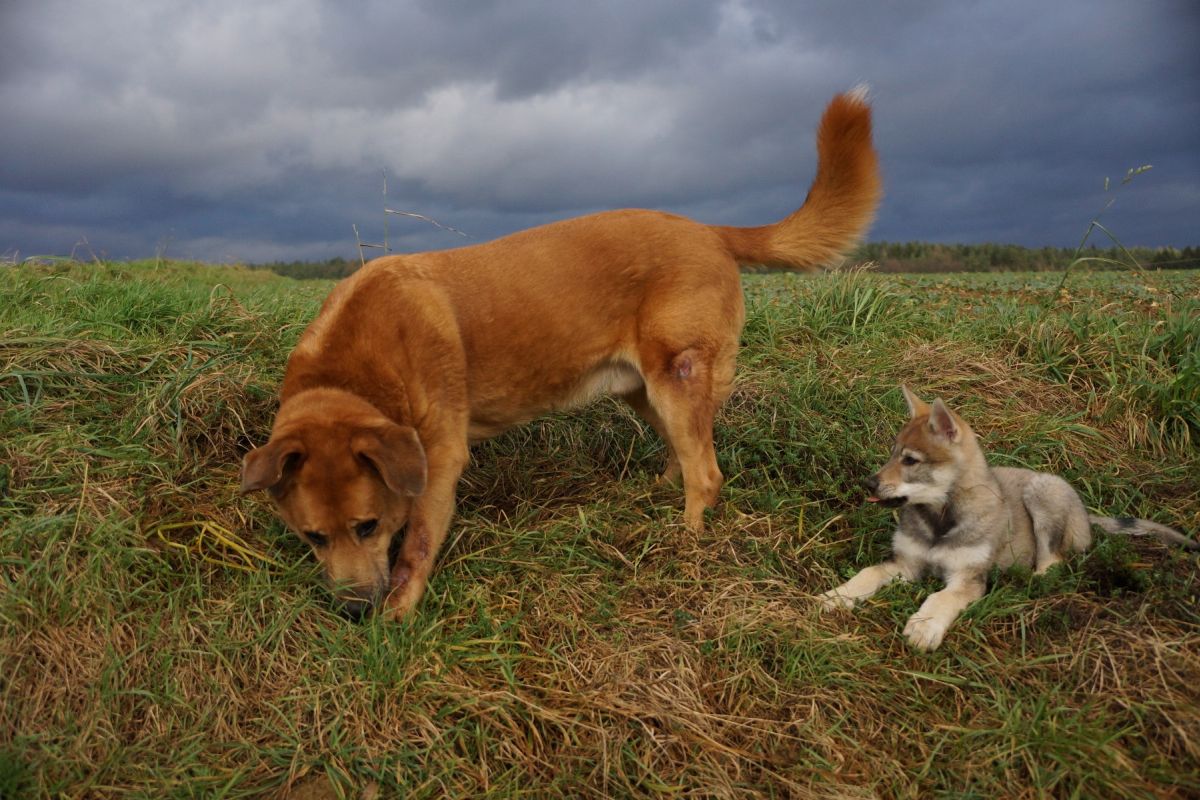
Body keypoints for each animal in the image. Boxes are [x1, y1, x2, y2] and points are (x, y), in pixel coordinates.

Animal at [241, 90, 883, 623]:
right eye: (312, 537)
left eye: (367, 525)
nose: (352, 611)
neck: (355, 373)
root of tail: (708, 229)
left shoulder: (440, 461)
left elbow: (417, 544)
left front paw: (398, 616)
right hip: (644, 392)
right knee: (685, 454)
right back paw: (655, 495)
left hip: (676, 378)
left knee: (707, 473)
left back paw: (685, 542)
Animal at [820, 386, 1195, 652]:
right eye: (892, 453)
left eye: (910, 460)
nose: (868, 483)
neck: (940, 521)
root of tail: (1087, 516)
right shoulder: (906, 565)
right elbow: (868, 573)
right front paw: (839, 596)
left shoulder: (968, 579)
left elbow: (940, 598)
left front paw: (925, 625)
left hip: (1043, 493)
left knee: (1054, 563)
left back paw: (1026, 580)